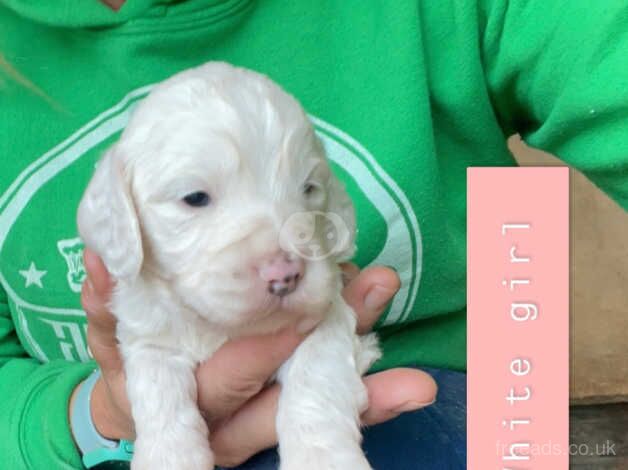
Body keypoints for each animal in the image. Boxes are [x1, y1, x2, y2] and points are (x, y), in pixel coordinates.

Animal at [78, 62, 382, 470]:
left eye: (309, 189)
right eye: (194, 197)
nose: (285, 276)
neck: (216, 325)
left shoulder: (324, 314)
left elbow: (316, 379)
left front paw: (323, 458)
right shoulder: (149, 337)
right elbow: (159, 392)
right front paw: (170, 457)